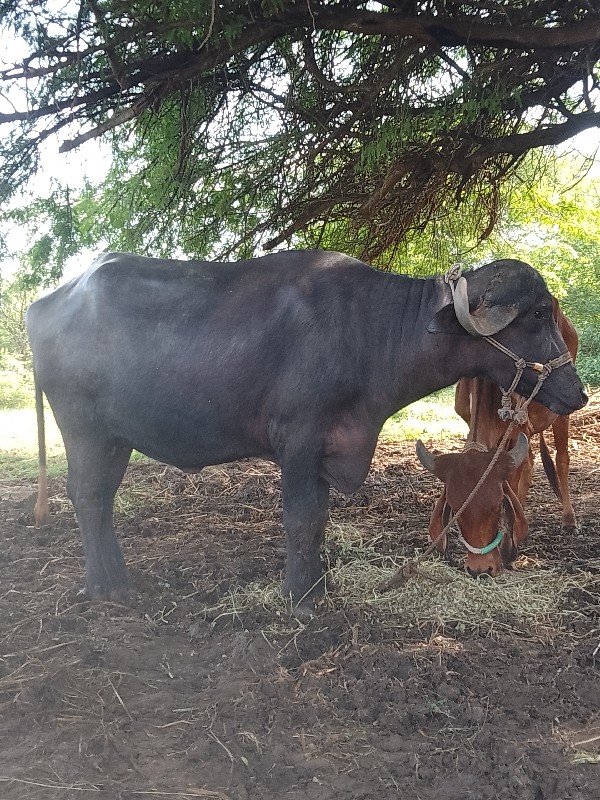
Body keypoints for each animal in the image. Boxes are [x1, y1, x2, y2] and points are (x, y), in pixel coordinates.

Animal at [418, 296, 576, 580]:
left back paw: (569, 520)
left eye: (496, 507)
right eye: (455, 511)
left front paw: (508, 551)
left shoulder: (517, 431)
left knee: (561, 459)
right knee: (530, 462)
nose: (480, 569)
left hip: (561, 416)